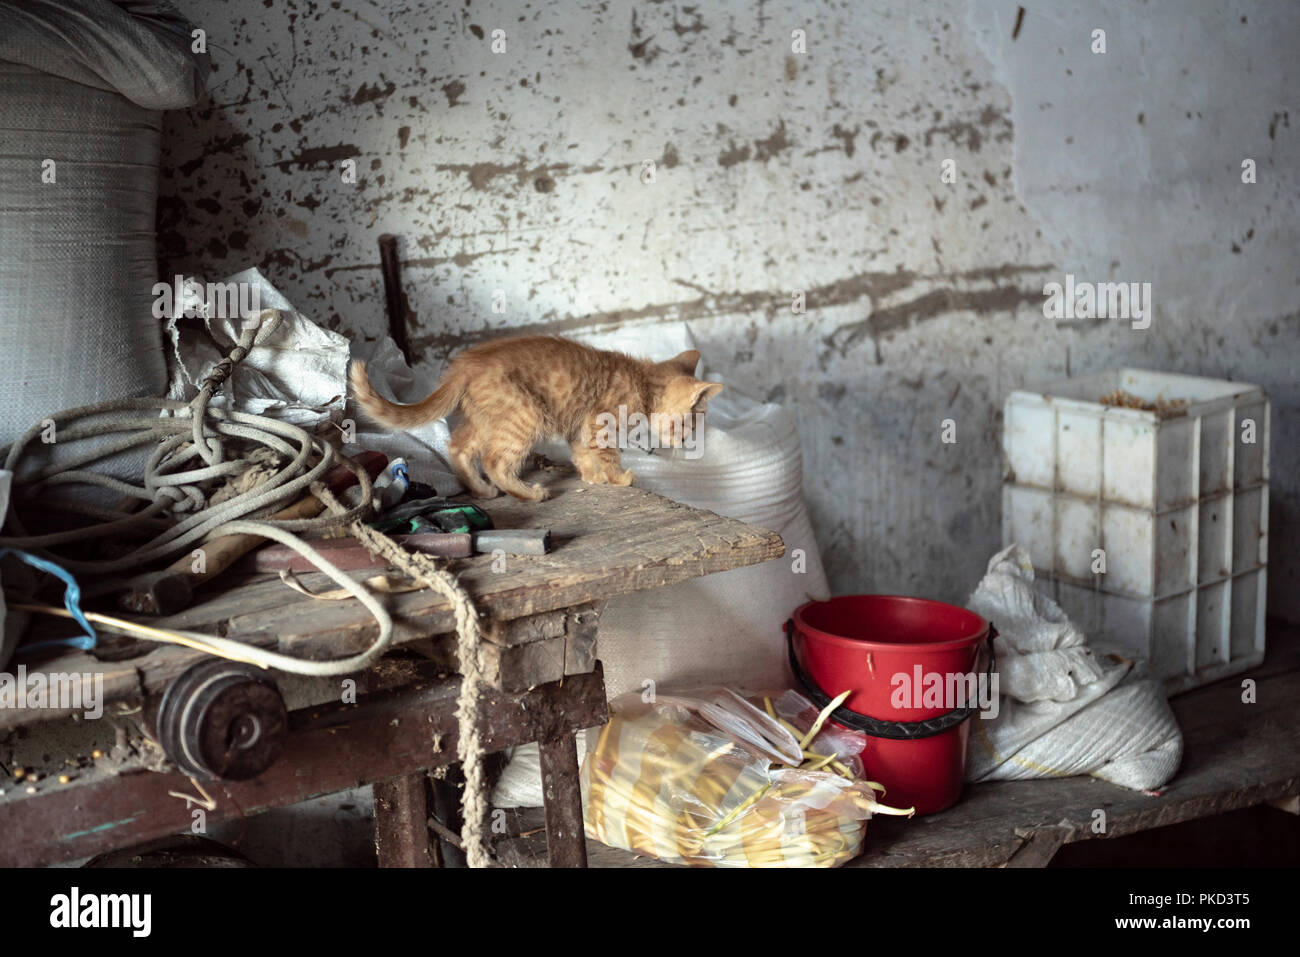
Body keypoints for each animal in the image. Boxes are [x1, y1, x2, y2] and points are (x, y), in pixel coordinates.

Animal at [351, 335, 728, 501]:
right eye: (692, 422)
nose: (687, 440)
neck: (642, 381)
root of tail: (465, 365)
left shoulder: (581, 427)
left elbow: (582, 454)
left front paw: (593, 477)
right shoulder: (600, 423)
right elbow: (608, 455)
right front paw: (619, 478)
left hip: (489, 418)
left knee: (459, 447)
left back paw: (481, 489)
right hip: (525, 415)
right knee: (495, 460)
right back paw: (528, 493)